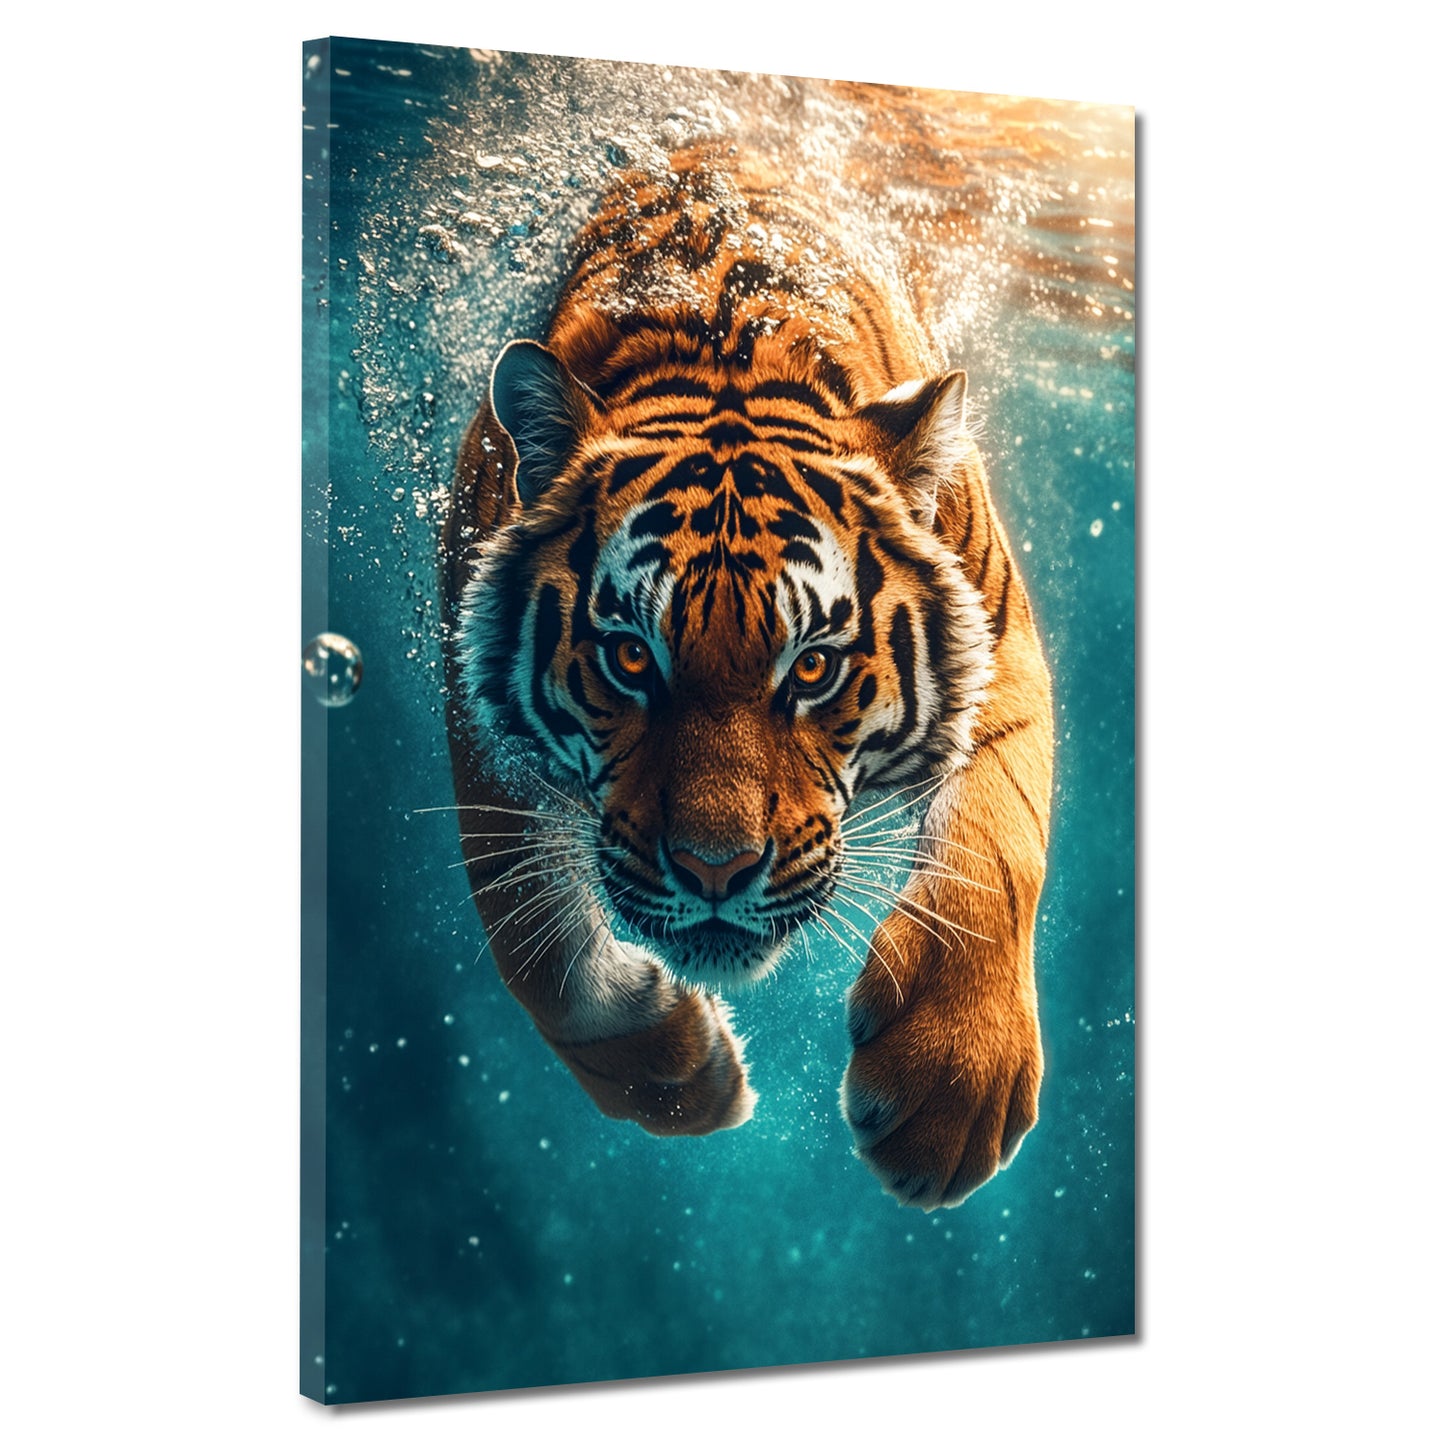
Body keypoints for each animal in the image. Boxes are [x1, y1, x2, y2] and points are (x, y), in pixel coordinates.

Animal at [441, 143, 1054, 1210]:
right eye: (630, 657)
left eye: (812, 666)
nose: (715, 871)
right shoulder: (476, 712)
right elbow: (534, 944)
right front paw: (682, 1077)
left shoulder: (999, 642)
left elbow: (996, 840)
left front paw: (950, 1082)